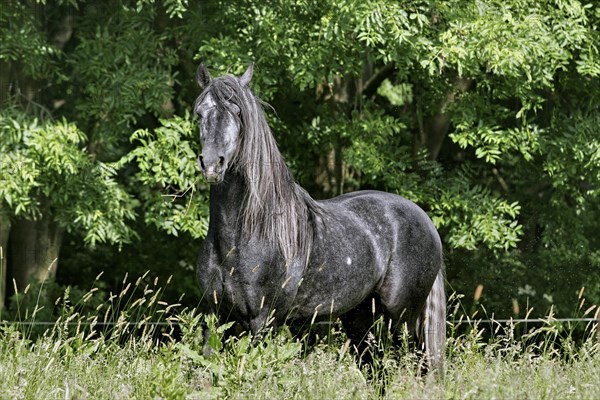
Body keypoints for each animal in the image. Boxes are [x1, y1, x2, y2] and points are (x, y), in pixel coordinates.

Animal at [193, 63, 446, 372]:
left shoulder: (263, 322)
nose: (211, 164)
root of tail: (425, 220)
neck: (243, 237)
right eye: (200, 112)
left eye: (238, 112)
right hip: (358, 317)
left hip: (403, 320)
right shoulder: (216, 316)